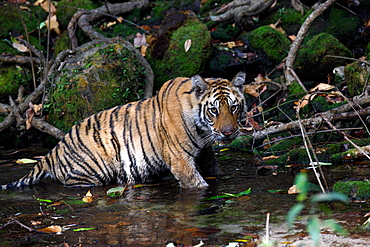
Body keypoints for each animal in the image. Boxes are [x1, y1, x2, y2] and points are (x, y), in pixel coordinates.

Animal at [2, 72, 247, 189]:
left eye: (233, 107)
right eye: (214, 110)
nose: (228, 132)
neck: (202, 130)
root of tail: (52, 152)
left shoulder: (205, 153)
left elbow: (214, 171)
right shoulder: (180, 160)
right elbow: (197, 184)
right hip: (92, 173)